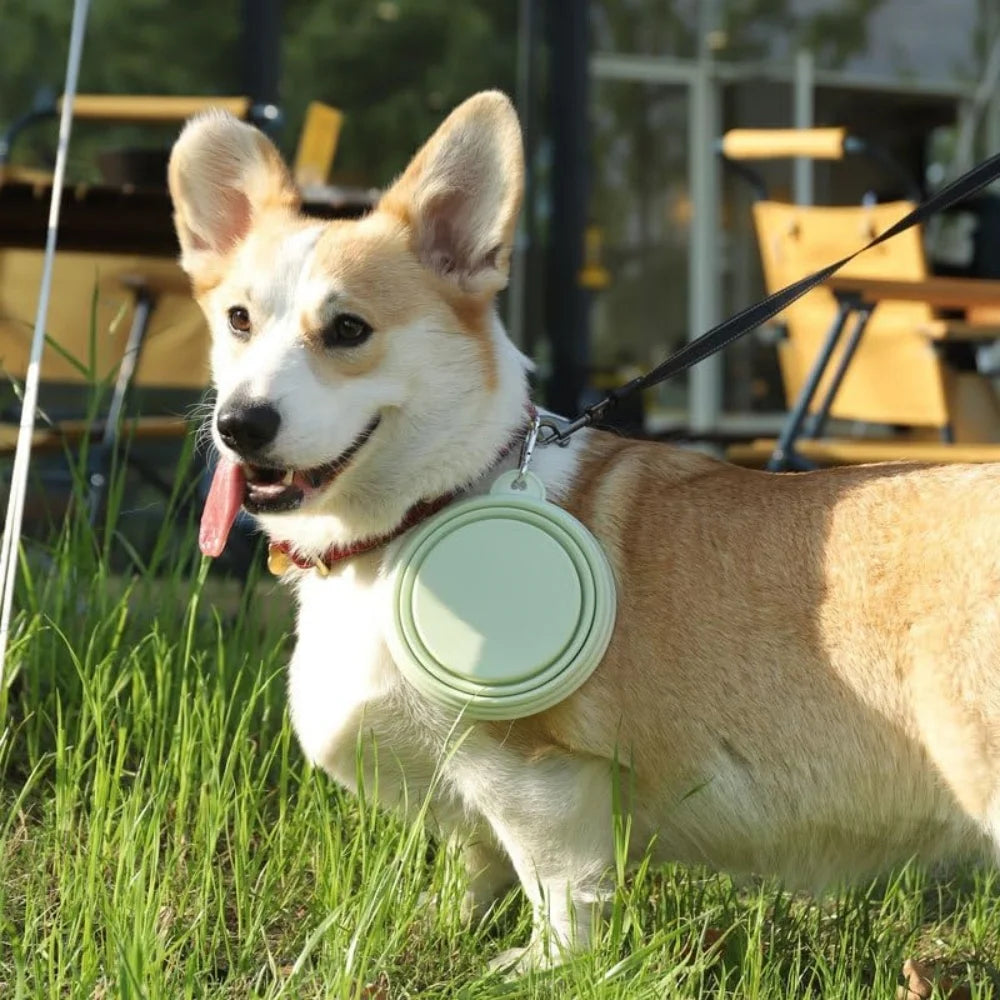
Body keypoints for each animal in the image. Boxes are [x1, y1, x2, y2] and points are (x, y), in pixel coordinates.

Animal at [168, 92, 996, 968]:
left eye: (349, 329)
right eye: (237, 320)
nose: (241, 425)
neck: (424, 507)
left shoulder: (537, 778)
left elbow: (559, 889)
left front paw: (538, 968)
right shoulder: (475, 812)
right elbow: (472, 864)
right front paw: (429, 929)